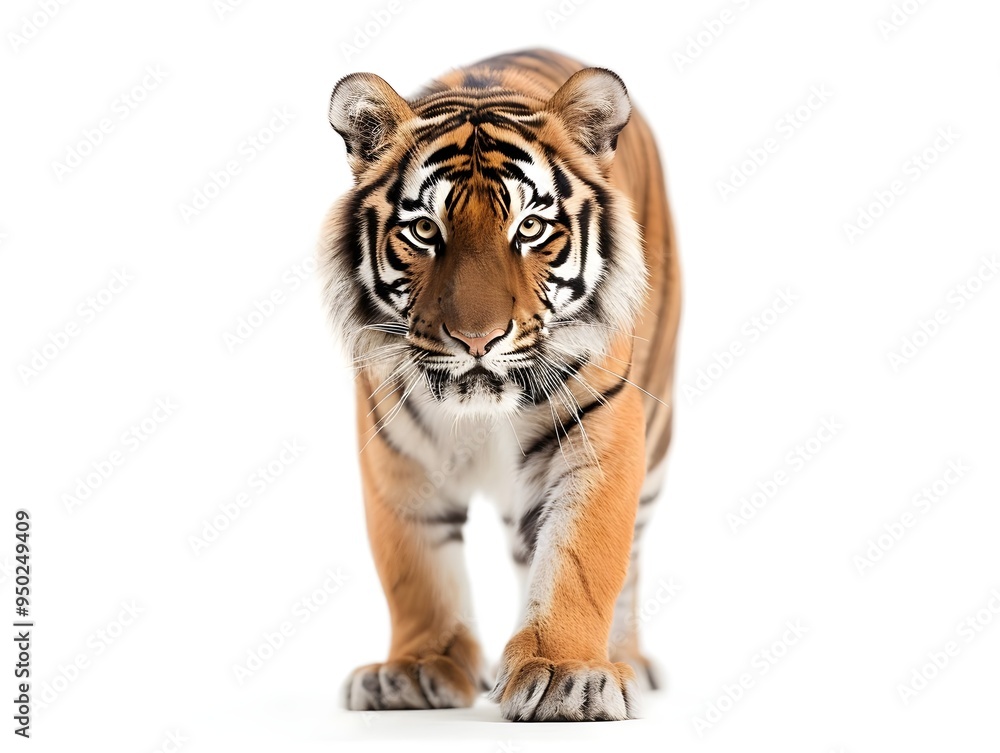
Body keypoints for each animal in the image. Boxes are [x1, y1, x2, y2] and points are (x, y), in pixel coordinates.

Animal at [318, 49, 680, 722]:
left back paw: (628, 659)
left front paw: (567, 672)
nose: (477, 339)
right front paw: (414, 669)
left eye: (531, 229)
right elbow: (414, 571)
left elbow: (582, 560)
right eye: (424, 231)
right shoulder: (396, 457)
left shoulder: (598, 442)